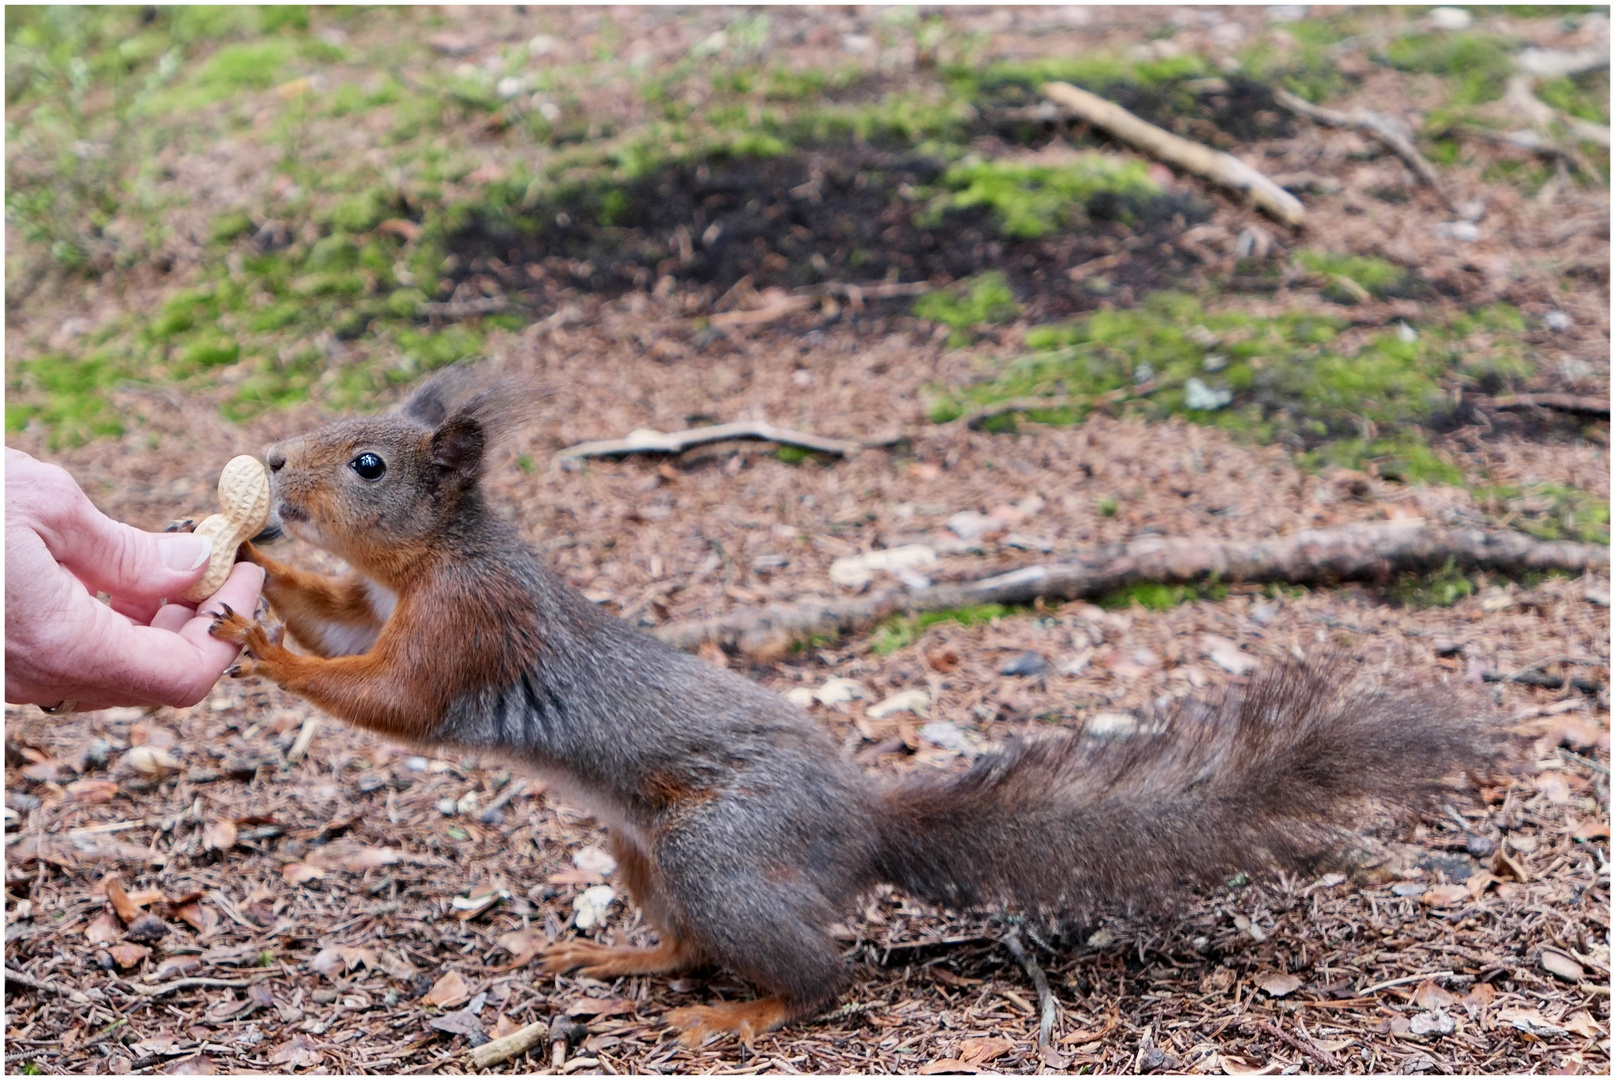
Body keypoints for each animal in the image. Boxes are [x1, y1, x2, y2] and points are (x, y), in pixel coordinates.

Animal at [211, 371, 1485, 1046]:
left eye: (368, 465)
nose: (270, 464)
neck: (437, 557)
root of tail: (862, 823)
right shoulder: (389, 604)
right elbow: (342, 626)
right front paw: (251, 568)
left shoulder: (469, 629)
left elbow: (388, 696)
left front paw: (252, 642)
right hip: (642, 848)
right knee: (686, 942)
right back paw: (623, 961)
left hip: (724, 848)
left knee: (825, 979)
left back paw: (741, 1019)